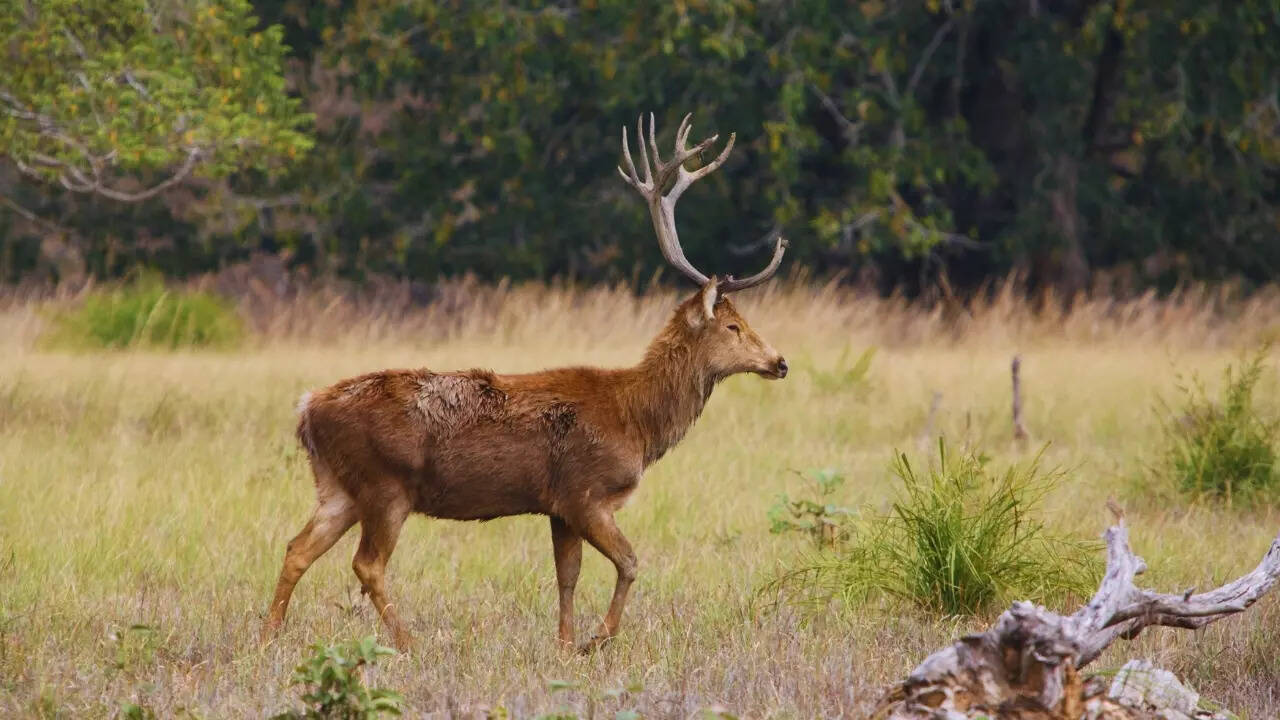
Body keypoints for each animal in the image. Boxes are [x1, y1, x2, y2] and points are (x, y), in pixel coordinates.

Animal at [261, 112, 789, 653]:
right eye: (734, 326)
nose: (780, 361)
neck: (635, 420)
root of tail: (307, 408)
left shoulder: (557, 506)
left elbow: (567, 576)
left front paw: (565, 645)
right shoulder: (585, 491)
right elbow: (629, 562)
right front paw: (597, 639)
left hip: (337, 486)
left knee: (297, 548)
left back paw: (267, 637)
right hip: (385, 484)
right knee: (367, 564)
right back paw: (408, 644)